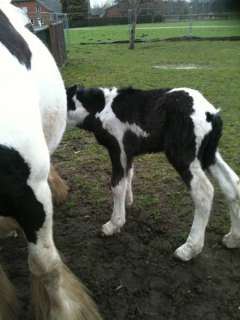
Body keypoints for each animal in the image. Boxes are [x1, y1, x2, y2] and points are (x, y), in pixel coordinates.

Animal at [66, 85, 240, 262]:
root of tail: (212, 114)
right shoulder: (129, 153)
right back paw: (233, 239)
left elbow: (117, 185)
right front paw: (128, 202)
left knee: (204, 192)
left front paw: (113, 225)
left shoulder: (118, 149)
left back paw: (188, 250)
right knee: (232, 184)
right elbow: (129, 175)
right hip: (208, 155)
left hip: (183, 156)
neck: (101, 107)